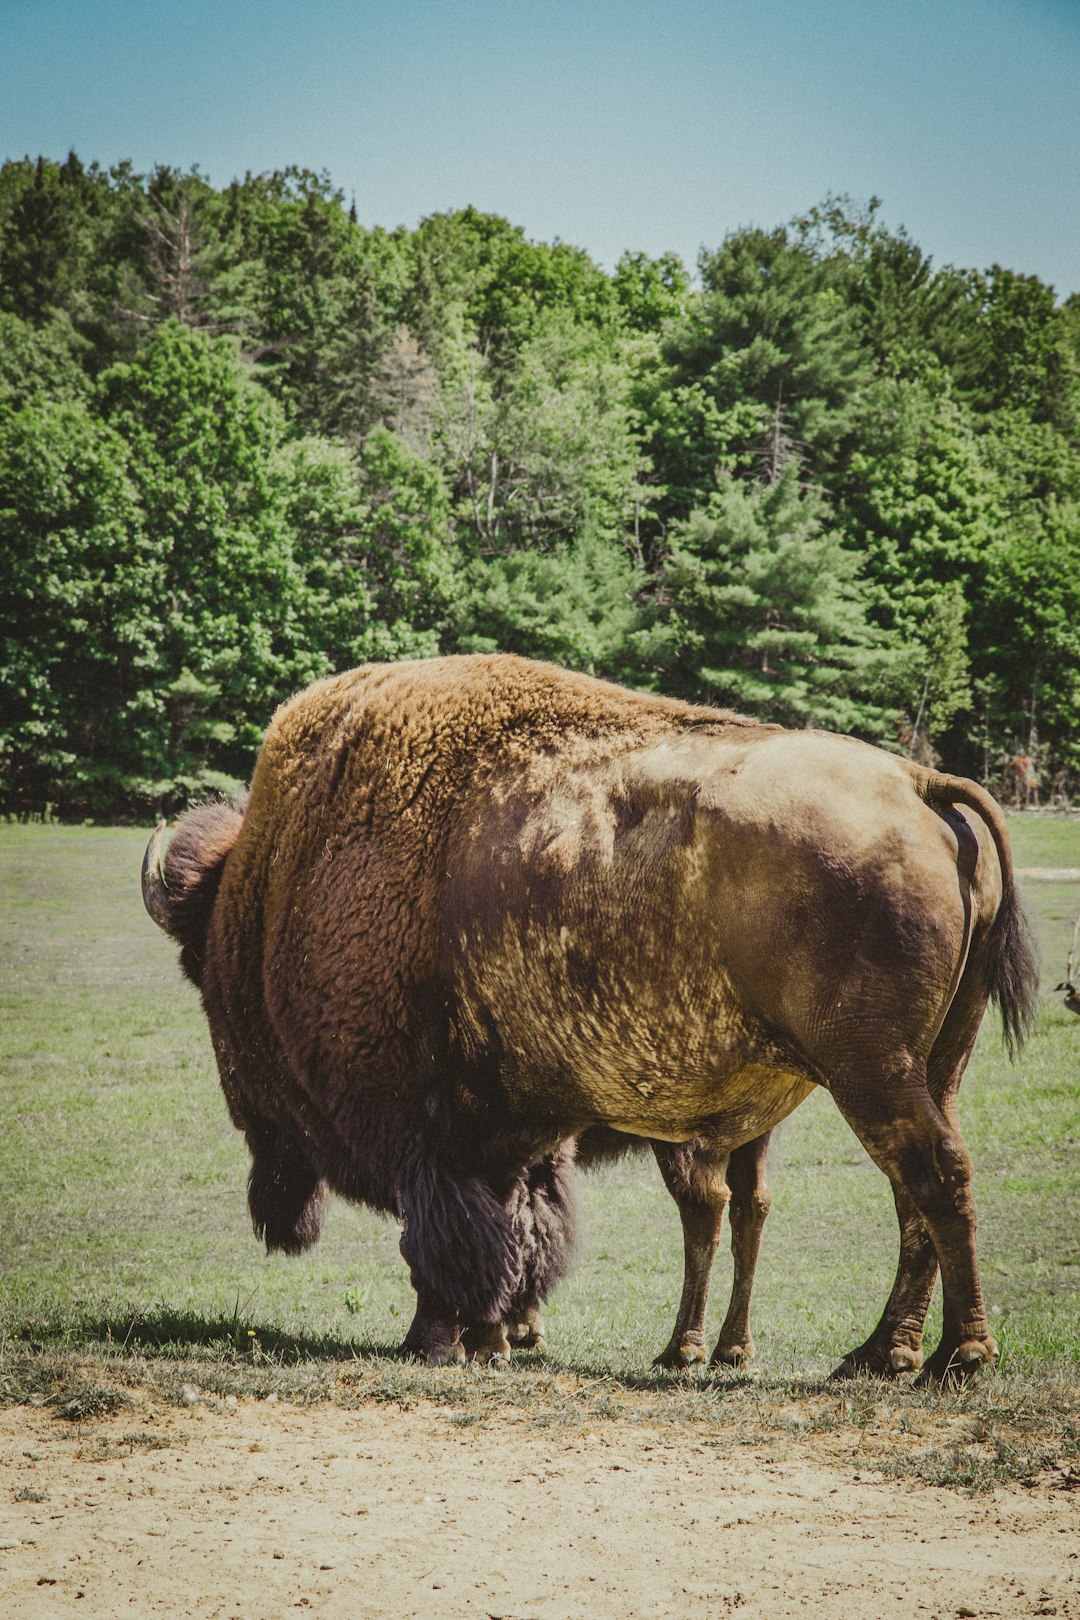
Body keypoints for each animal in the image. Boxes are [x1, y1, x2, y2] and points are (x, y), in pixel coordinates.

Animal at [143, 655, 1038, 1379]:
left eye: (202, 974)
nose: (249, 1123)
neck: (279, 881)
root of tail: (918, 785)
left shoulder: (430, 1135)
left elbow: (450, 1243)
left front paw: (436, 1342)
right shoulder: (514, 1134)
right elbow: (522, 1232)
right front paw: (492, 1341)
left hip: (870, 1070)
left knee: (931, 1175)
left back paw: (953, 1357)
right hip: (933, 1066)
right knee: (901, 1192)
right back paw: (871, 1355)